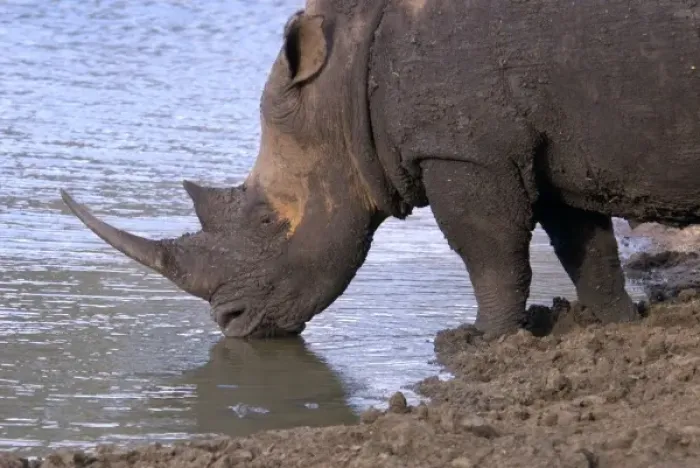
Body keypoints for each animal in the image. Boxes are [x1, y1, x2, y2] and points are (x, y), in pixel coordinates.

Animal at [61, 0, 700, 340]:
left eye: (267, 221)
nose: (230, 322)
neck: (341, 85)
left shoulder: (462, 147)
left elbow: (490, 250)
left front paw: (482, 342)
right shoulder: (542, 144)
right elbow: (586, 245)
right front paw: (618, 325)